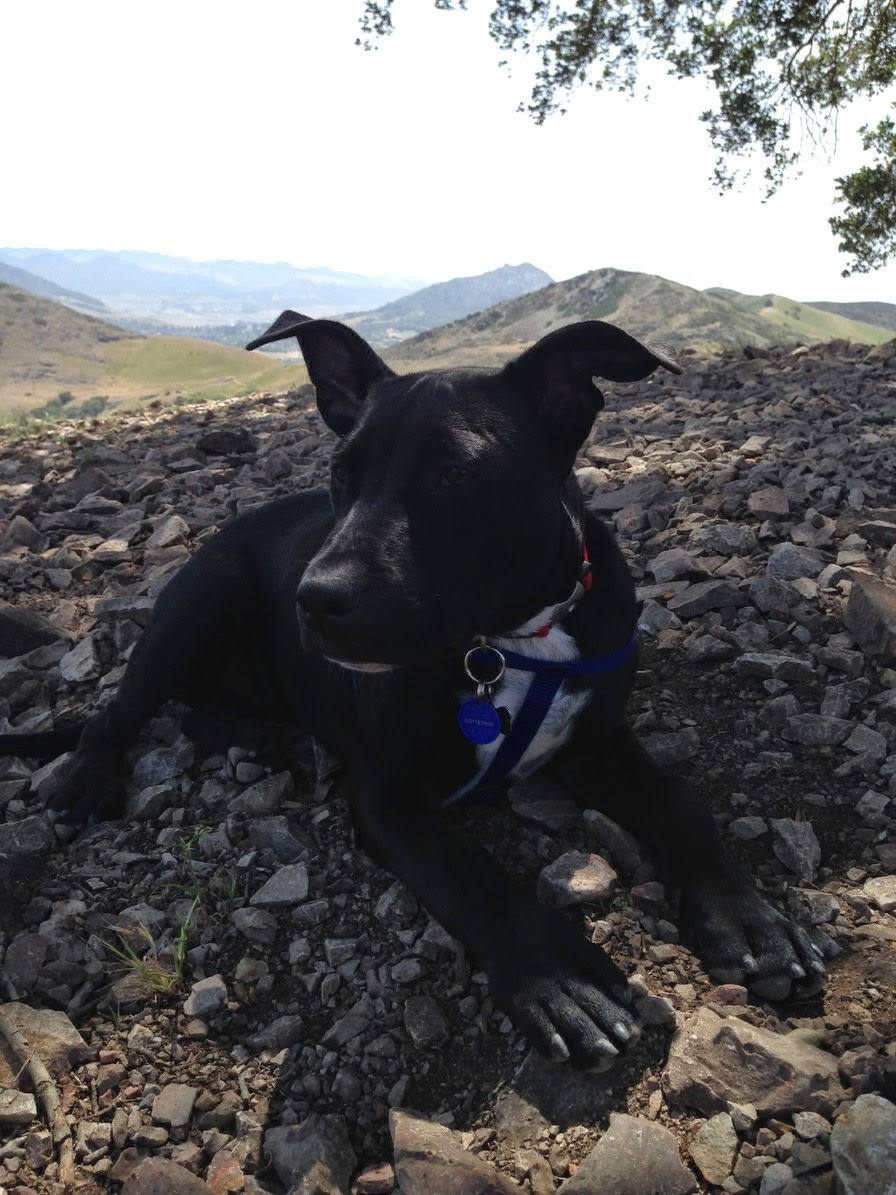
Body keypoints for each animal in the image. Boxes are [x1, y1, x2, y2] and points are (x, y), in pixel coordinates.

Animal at [2, 314, 824, 1066]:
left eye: (456, 473)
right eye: (341, 471)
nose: (315, 600)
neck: (510, 640)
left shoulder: (595, 738)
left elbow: (679, 797)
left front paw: (749, 919)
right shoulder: (385, 792)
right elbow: (468, 871)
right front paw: (559, 975)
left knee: (205, 712)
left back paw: (258, 737)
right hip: (202, 598)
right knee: (117, 711)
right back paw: (91, 779)